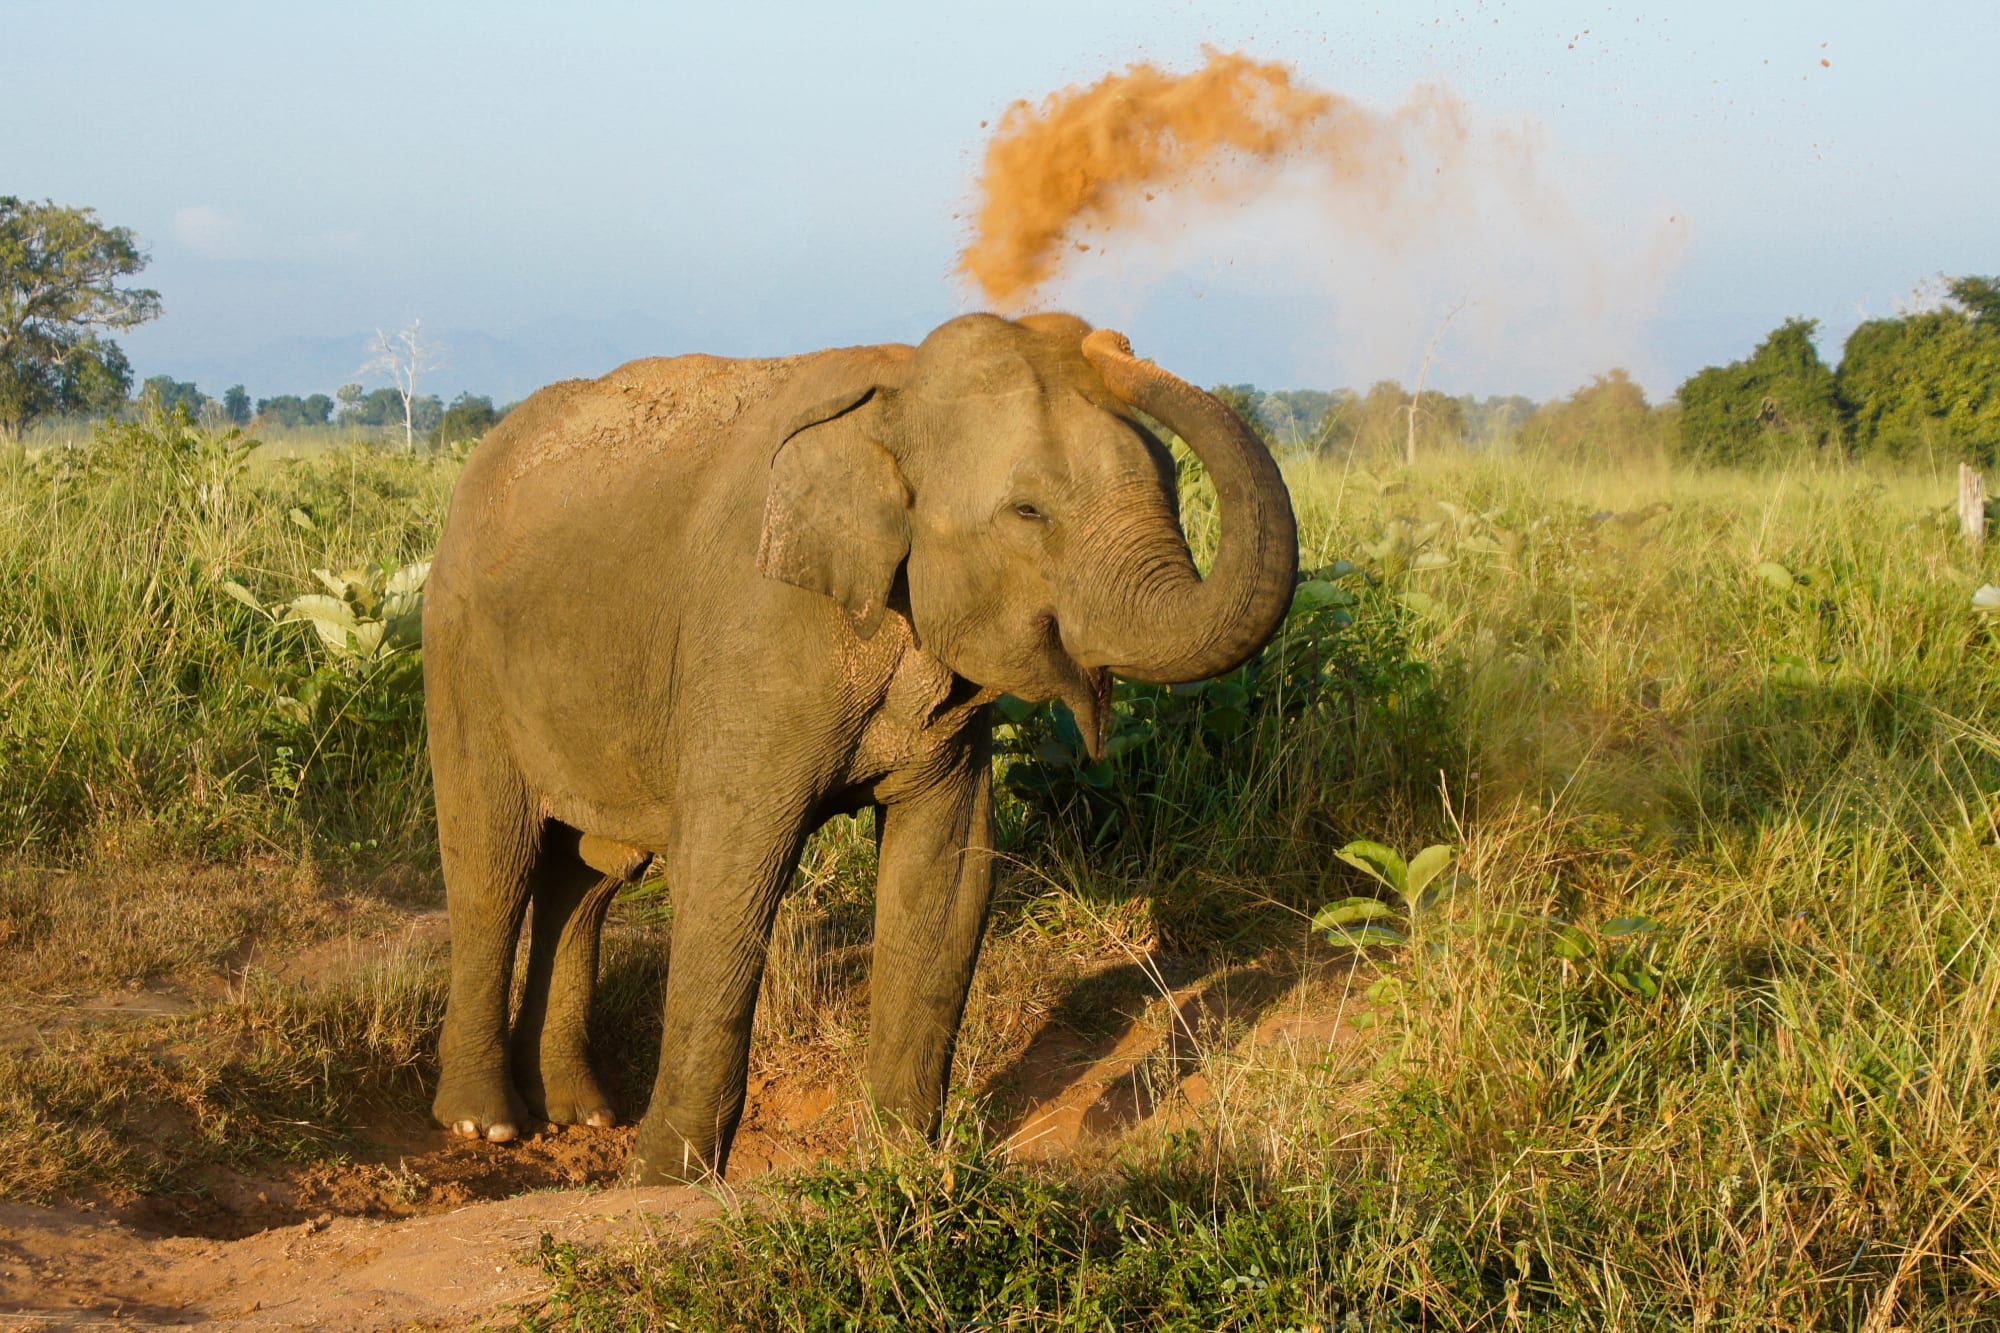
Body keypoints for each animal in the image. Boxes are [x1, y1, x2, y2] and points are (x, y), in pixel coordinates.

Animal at [423, 311, 1297, 1183]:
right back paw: (485, 1124)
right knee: (493, 863)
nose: (1104, 338)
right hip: (461, 649)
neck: (896, 395)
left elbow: (948, 873)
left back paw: (582, 1111)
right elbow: (728, 868)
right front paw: (665, 1178)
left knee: (591, 873)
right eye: (1028, 512)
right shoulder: (755, 631)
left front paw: (903, 1159)